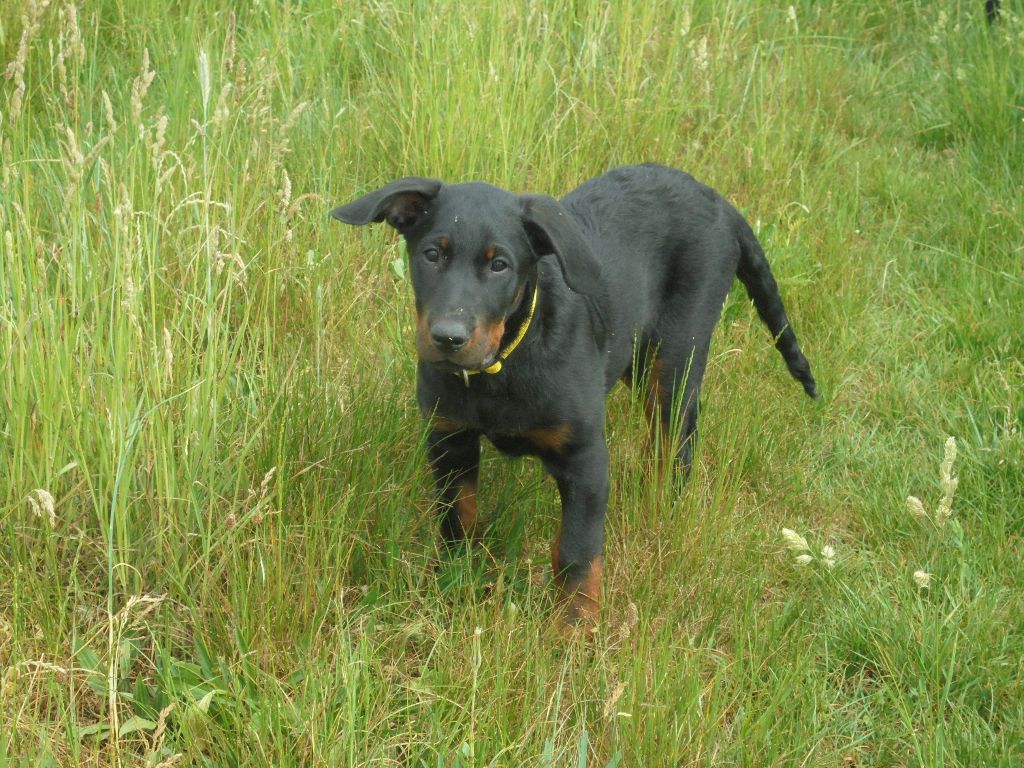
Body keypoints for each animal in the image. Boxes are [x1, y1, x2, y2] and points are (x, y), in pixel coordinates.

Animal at [331, 164, 818, 624]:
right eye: (432, 254)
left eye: (499, 265)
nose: (447, 338)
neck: (504, 361)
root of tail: (717, 199)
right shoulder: (450, 439)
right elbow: (458, 518)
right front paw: (454, 580)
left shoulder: (584, 458)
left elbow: (577, 552)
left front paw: (574, 627)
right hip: (634, 357)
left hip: (675, 356)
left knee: (677, 438)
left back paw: (663, 504)